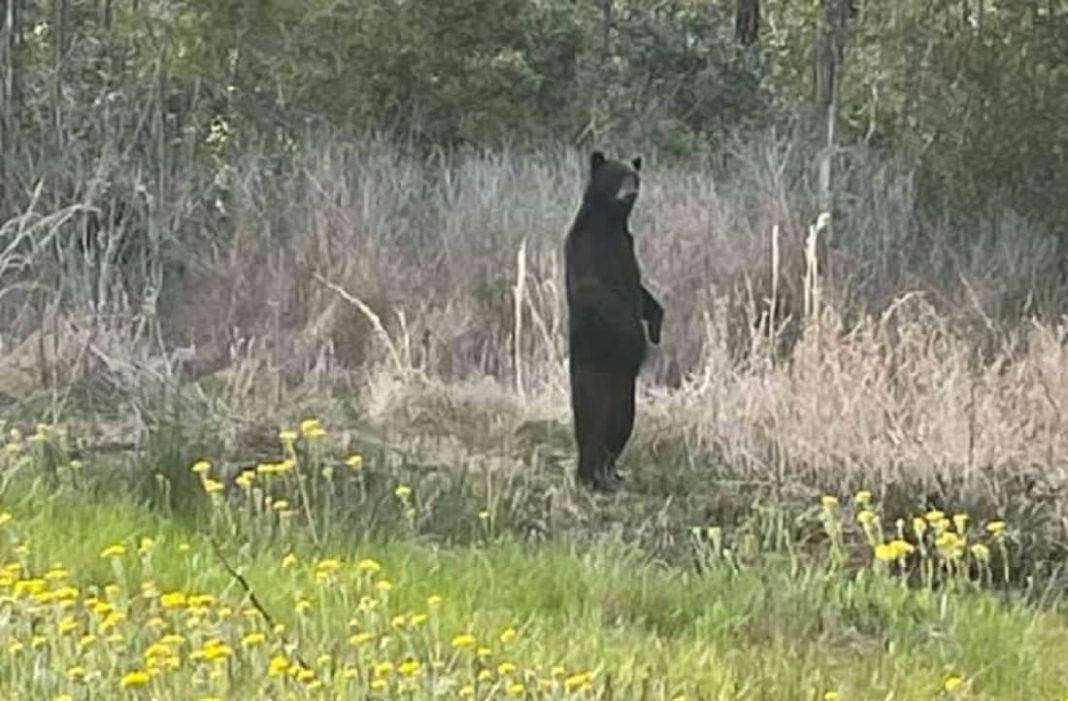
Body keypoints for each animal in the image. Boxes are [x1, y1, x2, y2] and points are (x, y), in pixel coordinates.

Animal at [564, 151, 663, 492]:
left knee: (620, 427)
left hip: (625, 394)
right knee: (592, 425)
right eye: (616, 176)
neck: (610, 225)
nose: (630, 192)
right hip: (593, 380)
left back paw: (611, 474)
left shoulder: (628, 250)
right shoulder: (587, 252)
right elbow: (598, 294)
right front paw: (638, 337)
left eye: (634, 177)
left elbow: (642, 291)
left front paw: (656, 324)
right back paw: (591, 478)